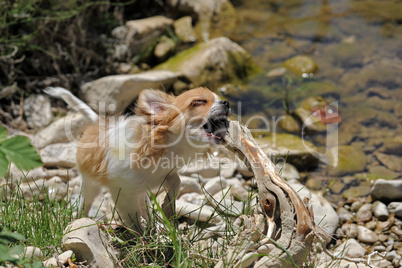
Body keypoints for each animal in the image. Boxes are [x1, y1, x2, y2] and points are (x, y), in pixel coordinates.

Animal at [44, 87, 229, 231]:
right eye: (199, 102)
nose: (226, 102)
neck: (166, 149)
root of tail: (97, 122)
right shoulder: (124, 192)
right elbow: (132, 219)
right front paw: (142, 239)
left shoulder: (166, 174)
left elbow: (177, 183)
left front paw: (167, 206)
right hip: (91, 184)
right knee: (86, 202)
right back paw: (81, 219)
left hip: (141, 193)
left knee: (144, 207)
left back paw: (155, 225)